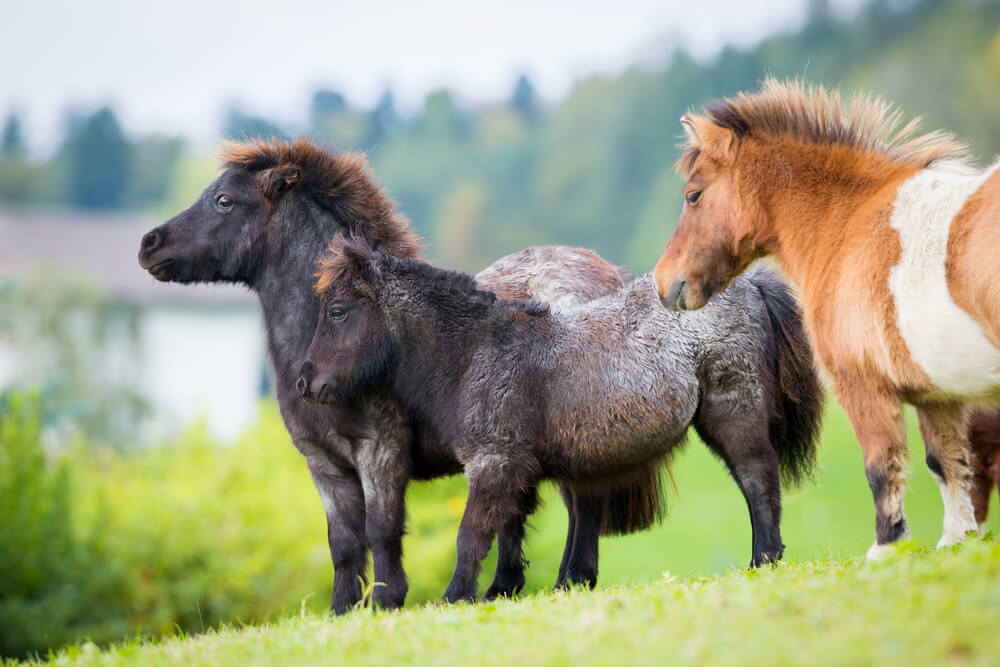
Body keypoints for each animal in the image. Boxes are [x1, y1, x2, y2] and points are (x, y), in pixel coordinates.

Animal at [300, 237, 824, 604]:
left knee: (757, 478)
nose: (306, 381)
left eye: (338, 311)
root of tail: (750, 282)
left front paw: (454, 597)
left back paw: (765, 560)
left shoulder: (493, 463)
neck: (476, 350)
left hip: (733, 411)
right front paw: (501, 591)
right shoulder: (517, 470)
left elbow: (472, 535)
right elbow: (509, 531)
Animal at [648, 78, 1000, 560]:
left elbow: (881, 466)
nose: (663, 282)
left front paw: (885, 549)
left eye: (693, 195)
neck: (850, 222)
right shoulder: (937, 396)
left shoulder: (861, 385)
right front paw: (955, 541)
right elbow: (946, 463)